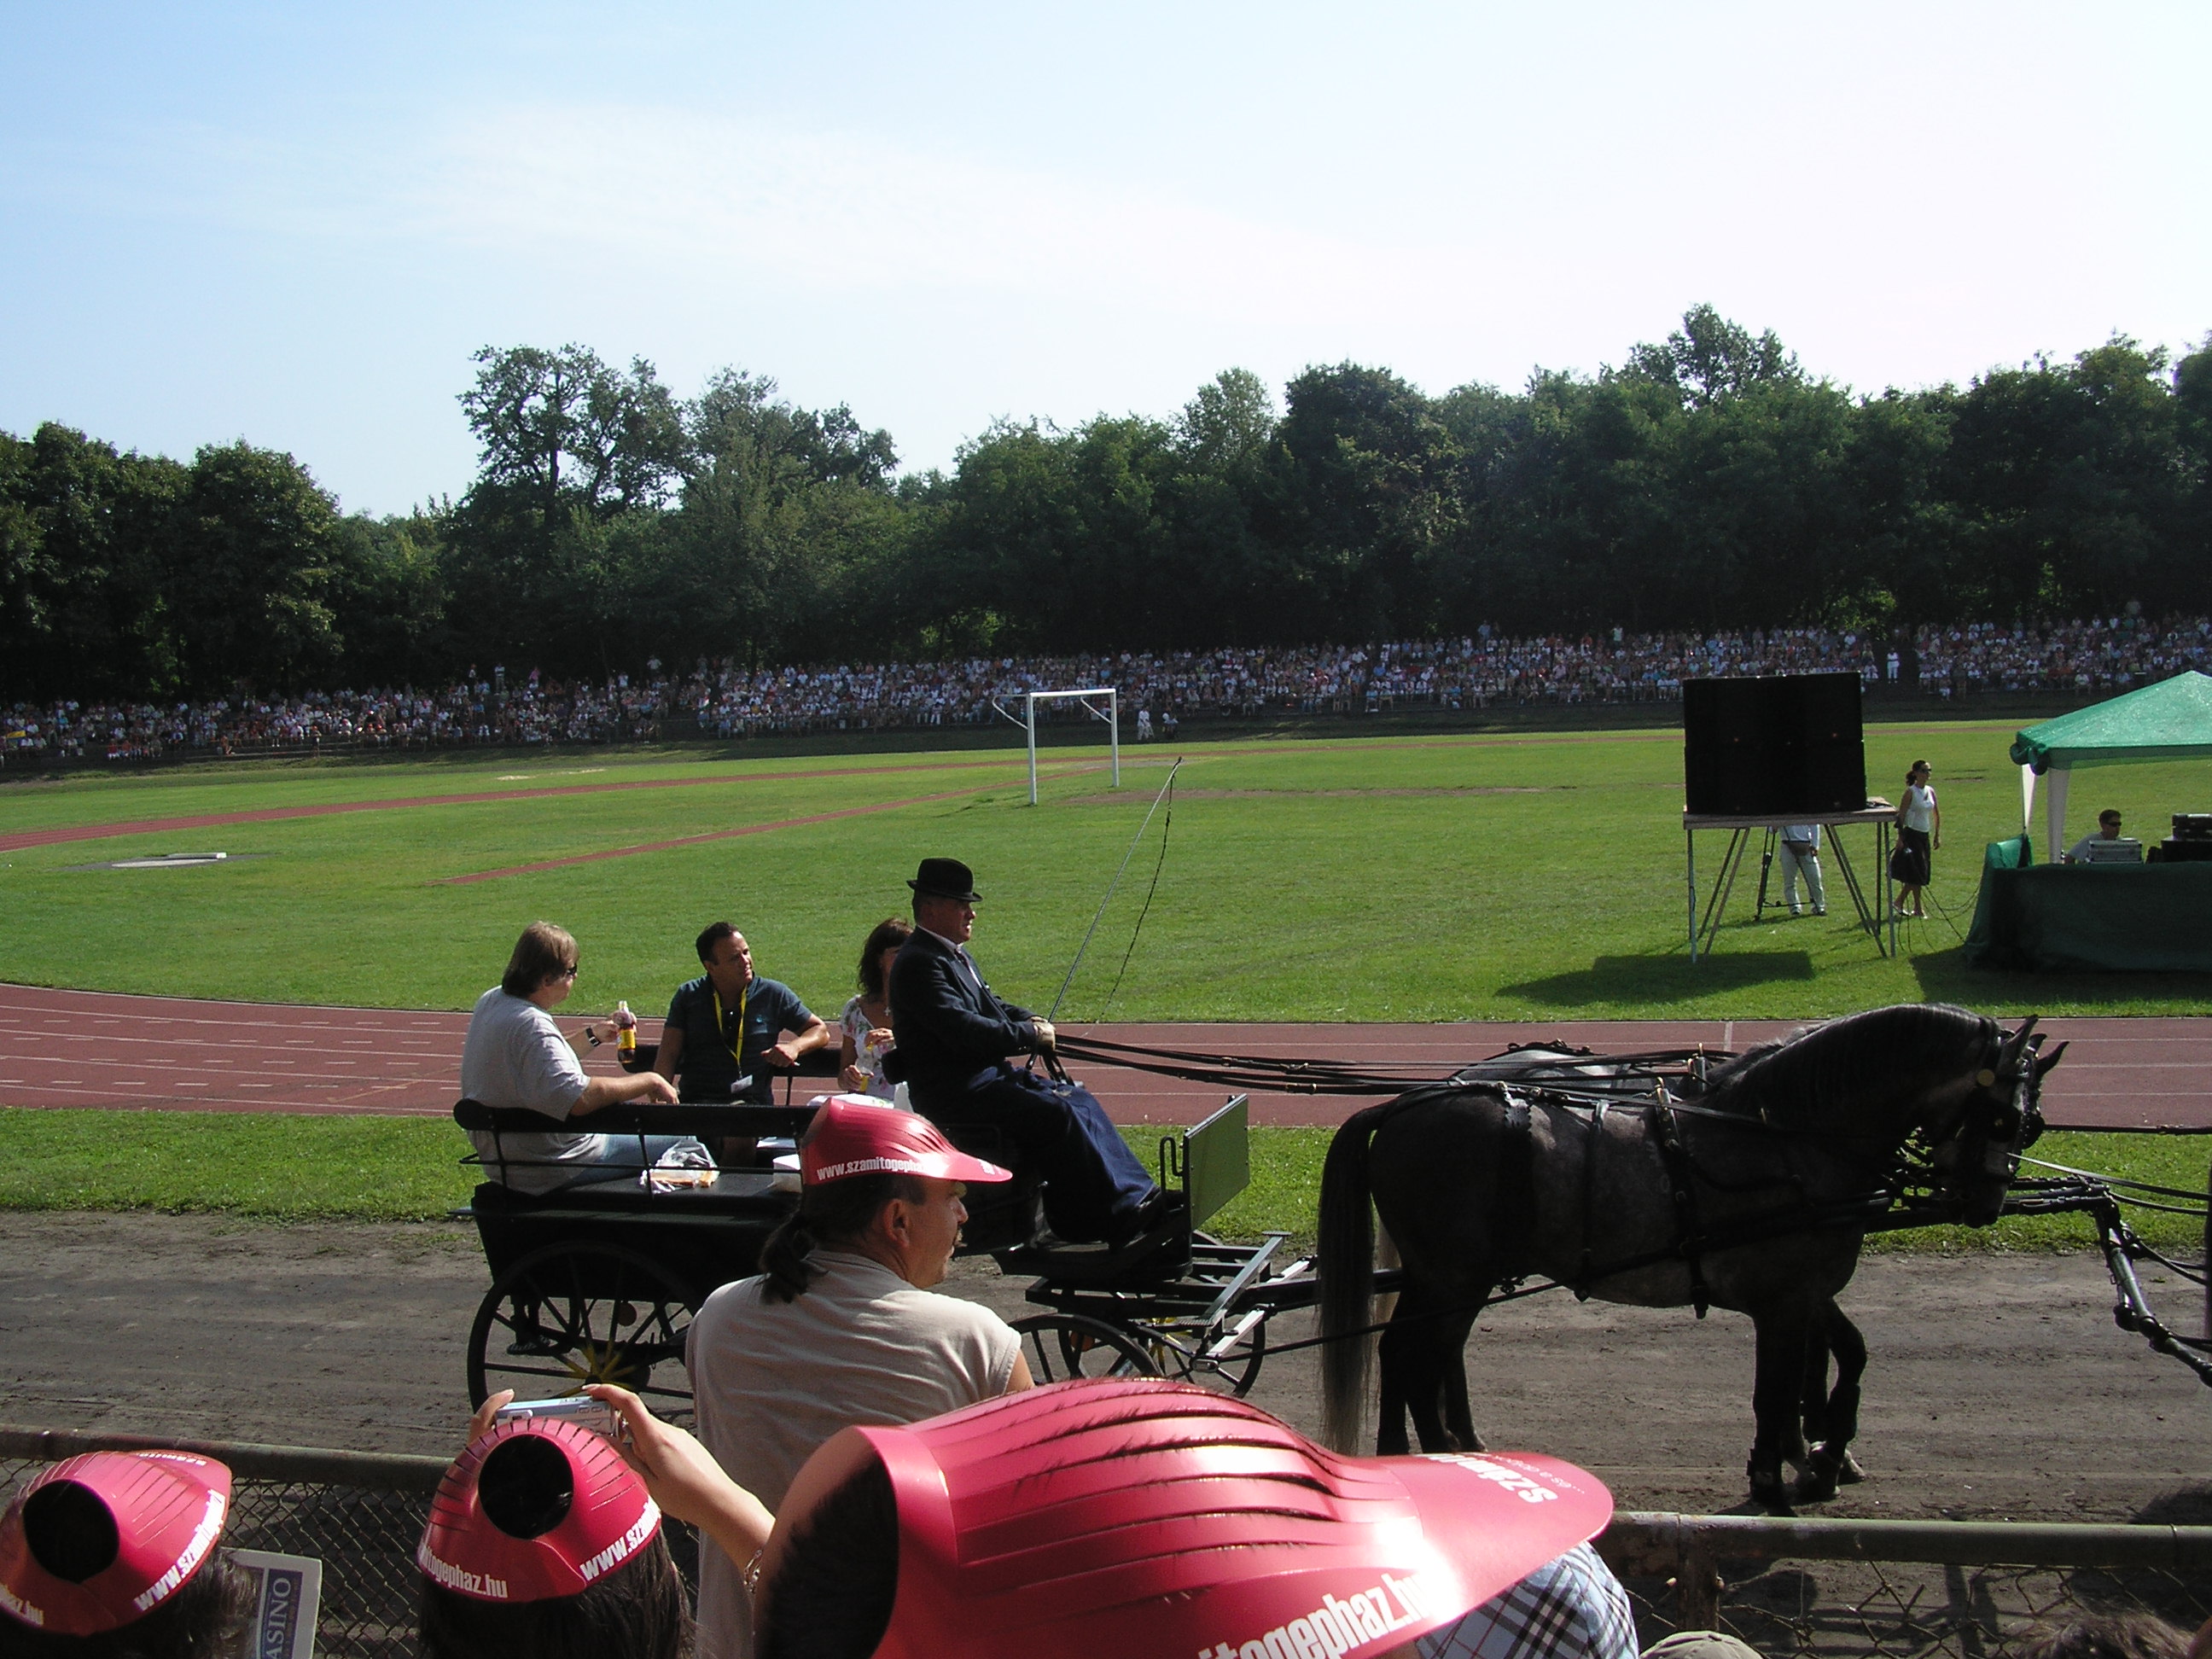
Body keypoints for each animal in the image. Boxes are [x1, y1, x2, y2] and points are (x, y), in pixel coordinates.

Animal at [1316, 1003, 2059, 1506]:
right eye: (2002, 1117)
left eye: (2032, 1124)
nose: (1985, 1202)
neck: (1783, 1138)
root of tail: (1408, 1102)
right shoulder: (1783, 1302)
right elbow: (1774, 1391)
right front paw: (1775, 1477)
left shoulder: (1806, 1293)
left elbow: (1843, 1356)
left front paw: (1823, 1452)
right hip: (1455, 1278)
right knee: (1419, 1365)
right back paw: (1447, 1462)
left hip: (1438, 1279)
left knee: (1404, 1357)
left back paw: (1411, 1461)